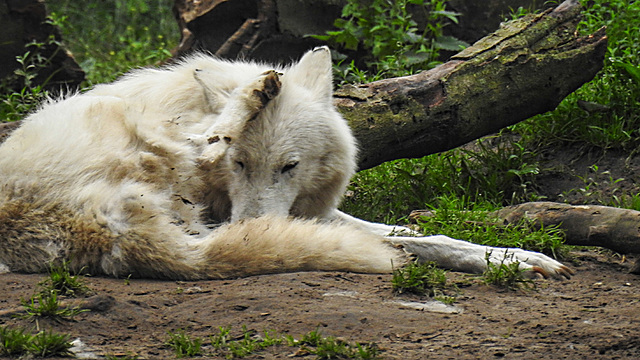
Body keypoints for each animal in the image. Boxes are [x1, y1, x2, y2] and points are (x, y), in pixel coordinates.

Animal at [0, 46, 572, 280]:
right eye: (238, 165)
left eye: (289, 167)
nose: (251, 226)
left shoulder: (311, 210)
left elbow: (421, 237)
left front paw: (513, 258)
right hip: (144, 146)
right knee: (208, 135)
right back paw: (258, 91)